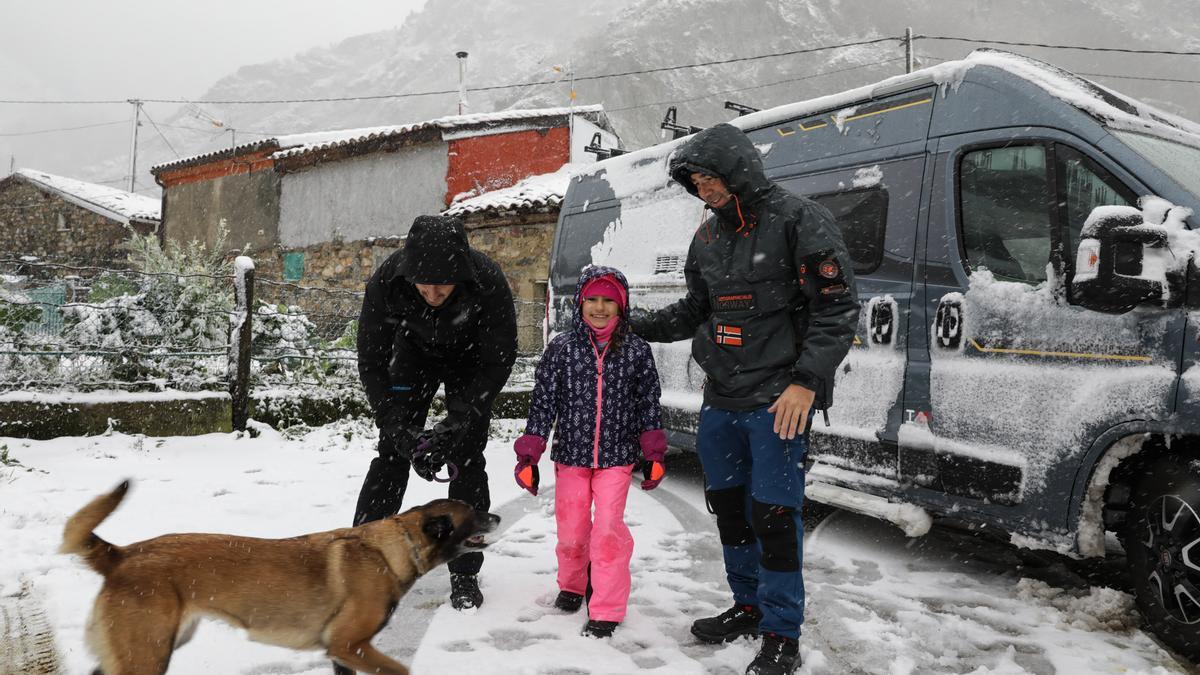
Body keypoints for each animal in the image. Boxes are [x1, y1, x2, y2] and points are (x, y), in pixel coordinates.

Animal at [58, 478, 499, 672]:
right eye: (472, 510)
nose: (495, 516)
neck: (392, 549)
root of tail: (122, 554)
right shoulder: (350, 645)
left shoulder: (342, 652)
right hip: (148, 653)